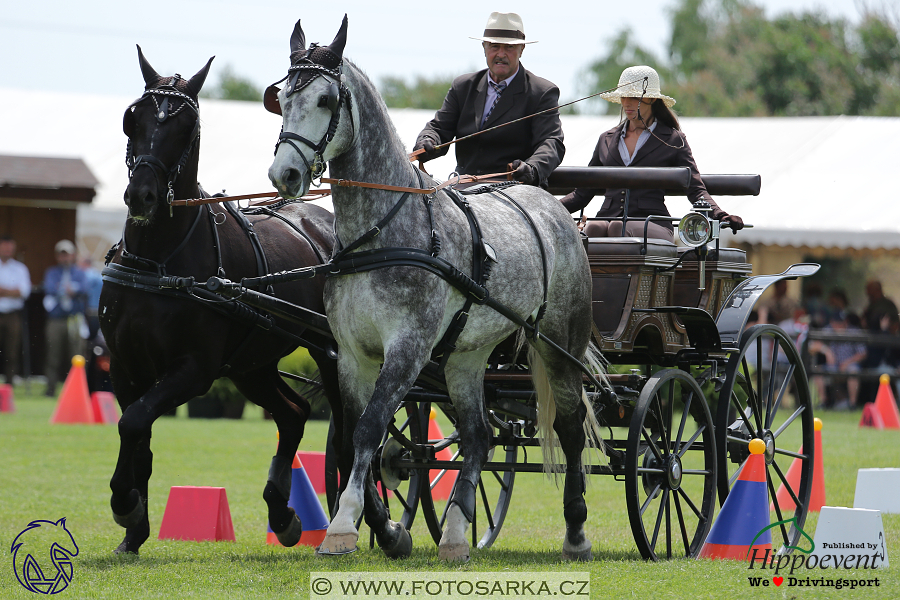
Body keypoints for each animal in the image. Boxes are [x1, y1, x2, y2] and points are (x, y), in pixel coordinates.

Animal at [99, 47, 342, 552]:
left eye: (186, 125)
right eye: (133, 118)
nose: (141, 195)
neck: (157, 260)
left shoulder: (194, 369)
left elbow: (133, 422)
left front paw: (124, 503)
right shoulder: (126, 366)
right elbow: (137, 433)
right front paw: (134, 528)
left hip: (329, 353)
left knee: (349, 427)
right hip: (252, 362)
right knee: (293, 414)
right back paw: (283, 514)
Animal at [268, 18, 604, 564]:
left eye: (324, 99)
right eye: (281, 98)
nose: (285, 174)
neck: (382, 233)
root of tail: (553, 207)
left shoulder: (408, 347)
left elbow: (370, 428)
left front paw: (343, 525)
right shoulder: (353, 354)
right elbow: (353, 439)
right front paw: (386, 530)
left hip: (559, 343)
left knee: (571, 428)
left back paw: (575, 532)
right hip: (467, 355)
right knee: (479, 435)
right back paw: (455, 532)